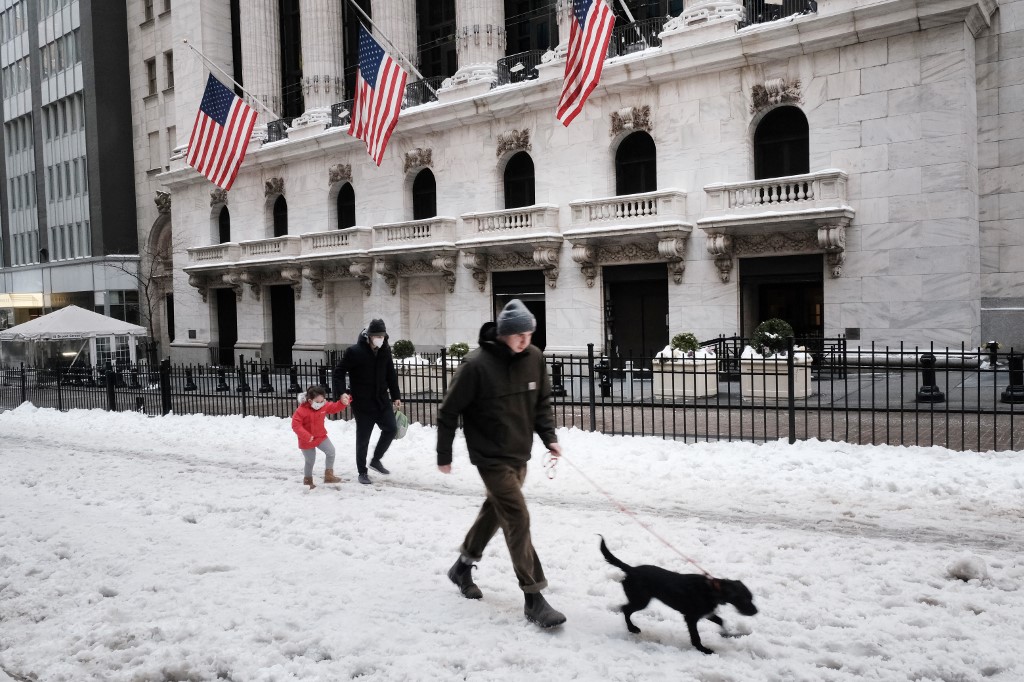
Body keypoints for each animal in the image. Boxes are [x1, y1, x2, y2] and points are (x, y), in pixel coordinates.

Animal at [598, 532, 757, 651]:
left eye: (751, 597)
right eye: (744, 599)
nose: (756, 611)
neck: (713, 589)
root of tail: (631, 569)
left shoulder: (706, 612)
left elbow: (721, 621)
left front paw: (726, 634)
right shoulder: (691, 617)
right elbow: (696, 636)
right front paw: (703, 649)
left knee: (625, 609)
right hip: (641, 600)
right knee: (625, 609)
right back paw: (632, 628)